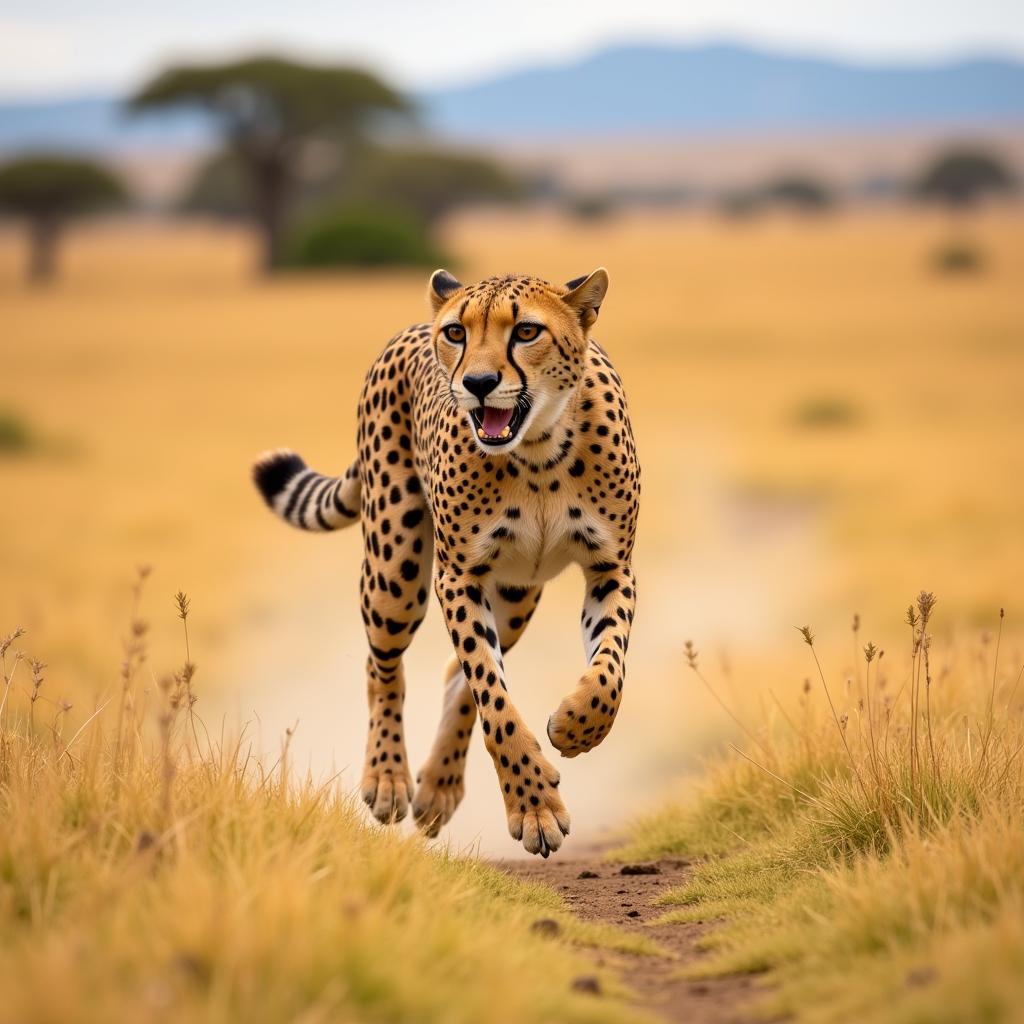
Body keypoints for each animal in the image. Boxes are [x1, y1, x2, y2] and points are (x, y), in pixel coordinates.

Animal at [253, 270, 638, 856]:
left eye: (527, 330)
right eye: (457, 332)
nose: (478, 382)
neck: (539, 451)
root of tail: (412, 326)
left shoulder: (611, 567)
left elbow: (608, 669)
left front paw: (577, 726)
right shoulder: (457, 575)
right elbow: (494, 698)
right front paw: (534, 805)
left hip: (515, 593)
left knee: (456, 675)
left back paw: (438, 787)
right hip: (397, 569)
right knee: (385, 665)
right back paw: (388, 777)